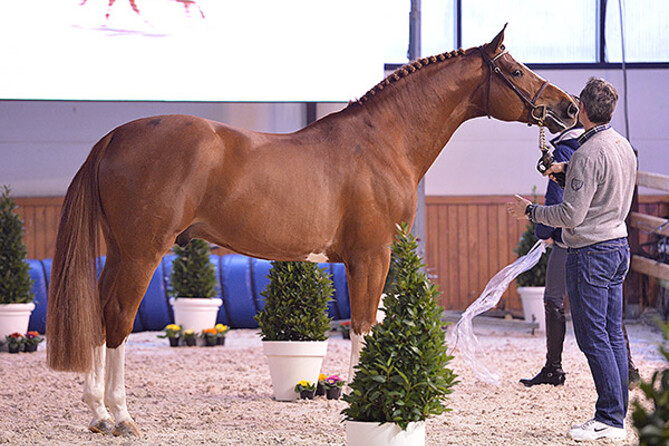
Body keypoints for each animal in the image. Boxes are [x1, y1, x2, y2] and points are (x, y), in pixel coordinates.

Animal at [46, 25, 578, 437]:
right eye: (515, 71)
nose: (569, 107)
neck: (385, 141)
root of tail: (114, 136)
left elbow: (368, 323)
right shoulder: (372, 255)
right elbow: (363, 325)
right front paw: (365, 403)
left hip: (119, 252)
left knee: (97, 313)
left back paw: (97, 414)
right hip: (142, 252)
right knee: (117, 317)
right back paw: (121, 417)